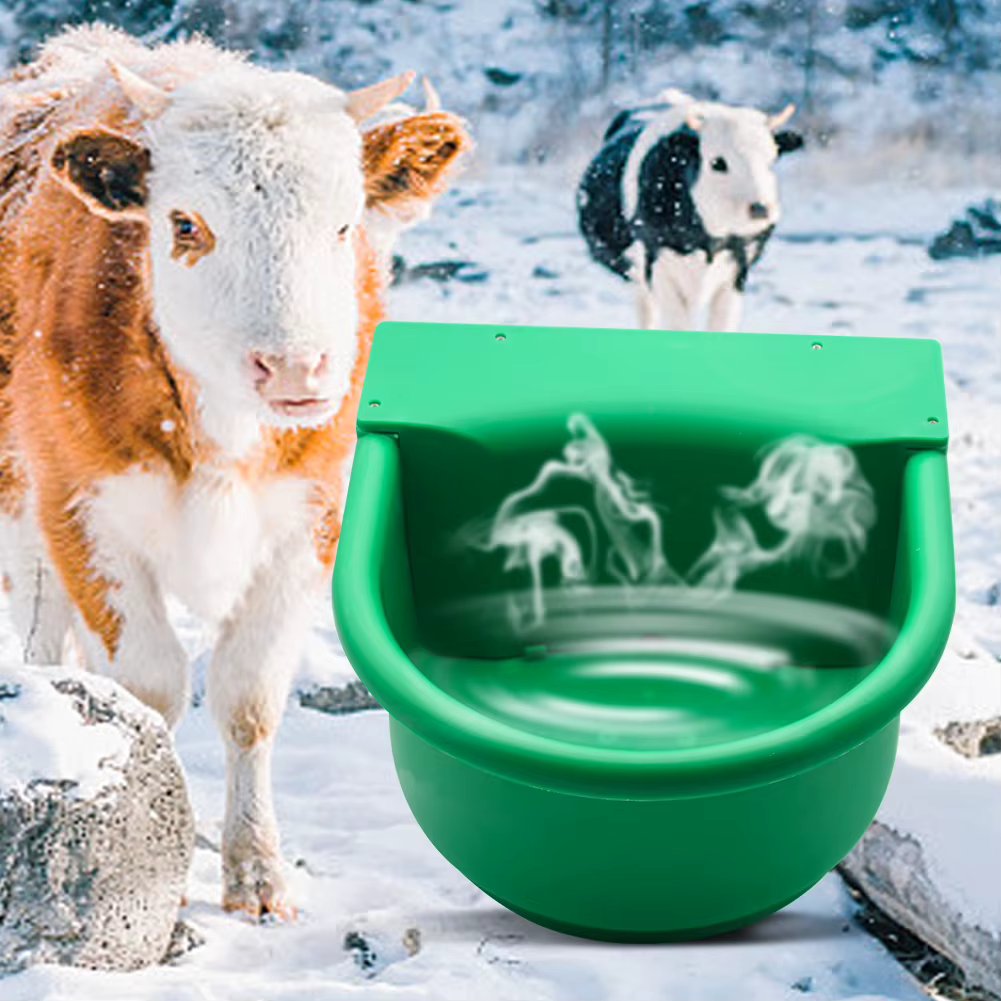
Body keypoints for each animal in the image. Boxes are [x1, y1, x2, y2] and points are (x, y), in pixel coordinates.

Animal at [0, 25, 470, 919]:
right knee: (40, 628)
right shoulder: (83, 511)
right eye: (184, 223)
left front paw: (255, 868)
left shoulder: (310, 523)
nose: (295, 367)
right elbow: (149, 689)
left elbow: (248, 696)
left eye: (346, 224)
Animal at [577, 89, 804, 332]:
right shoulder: (657, 263)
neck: (708, 237)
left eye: (771, 160)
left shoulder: (738, 271)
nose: (760, 208)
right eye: (717, 162)